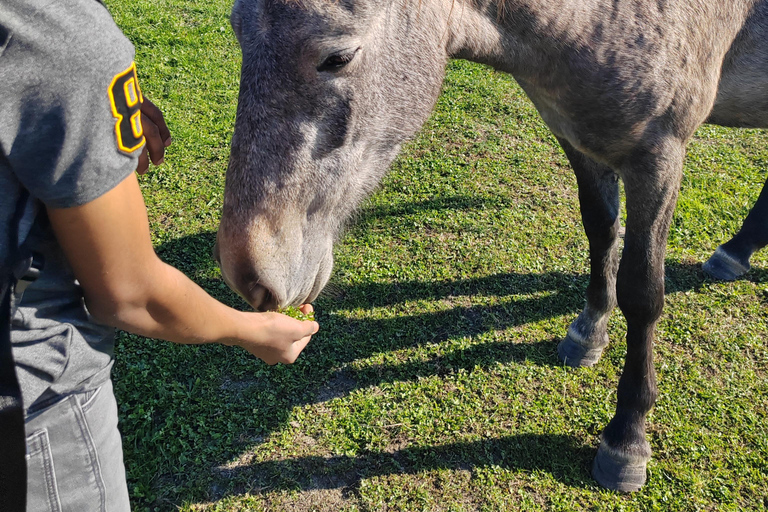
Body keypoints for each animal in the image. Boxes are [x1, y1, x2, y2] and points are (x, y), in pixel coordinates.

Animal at [214, 0, 768, 494]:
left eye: (338, 57)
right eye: (237, 32)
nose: (247, 272)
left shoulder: (658, 158)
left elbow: (643, 292)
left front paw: (627, 438)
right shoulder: (575, 135)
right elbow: (601, 232)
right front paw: (589, 331)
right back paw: (736, 252)